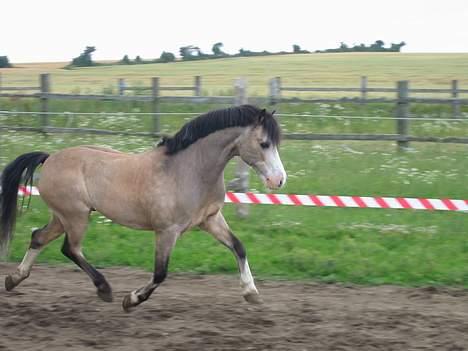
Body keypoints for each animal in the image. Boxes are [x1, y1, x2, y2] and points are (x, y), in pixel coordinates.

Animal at [0, 104, 286, 310]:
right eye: (264, 143)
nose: (279, 180)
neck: (188, 170)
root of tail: (49, 158)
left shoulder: (211, 220)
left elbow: (238, 247)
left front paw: (252, 293)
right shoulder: (167, 231)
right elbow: (160, 273)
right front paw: (131, 300)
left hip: (63, 217)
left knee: (38, 237)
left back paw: (14, 280)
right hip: (75, 216)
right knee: (70, 248)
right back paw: (104, 289)